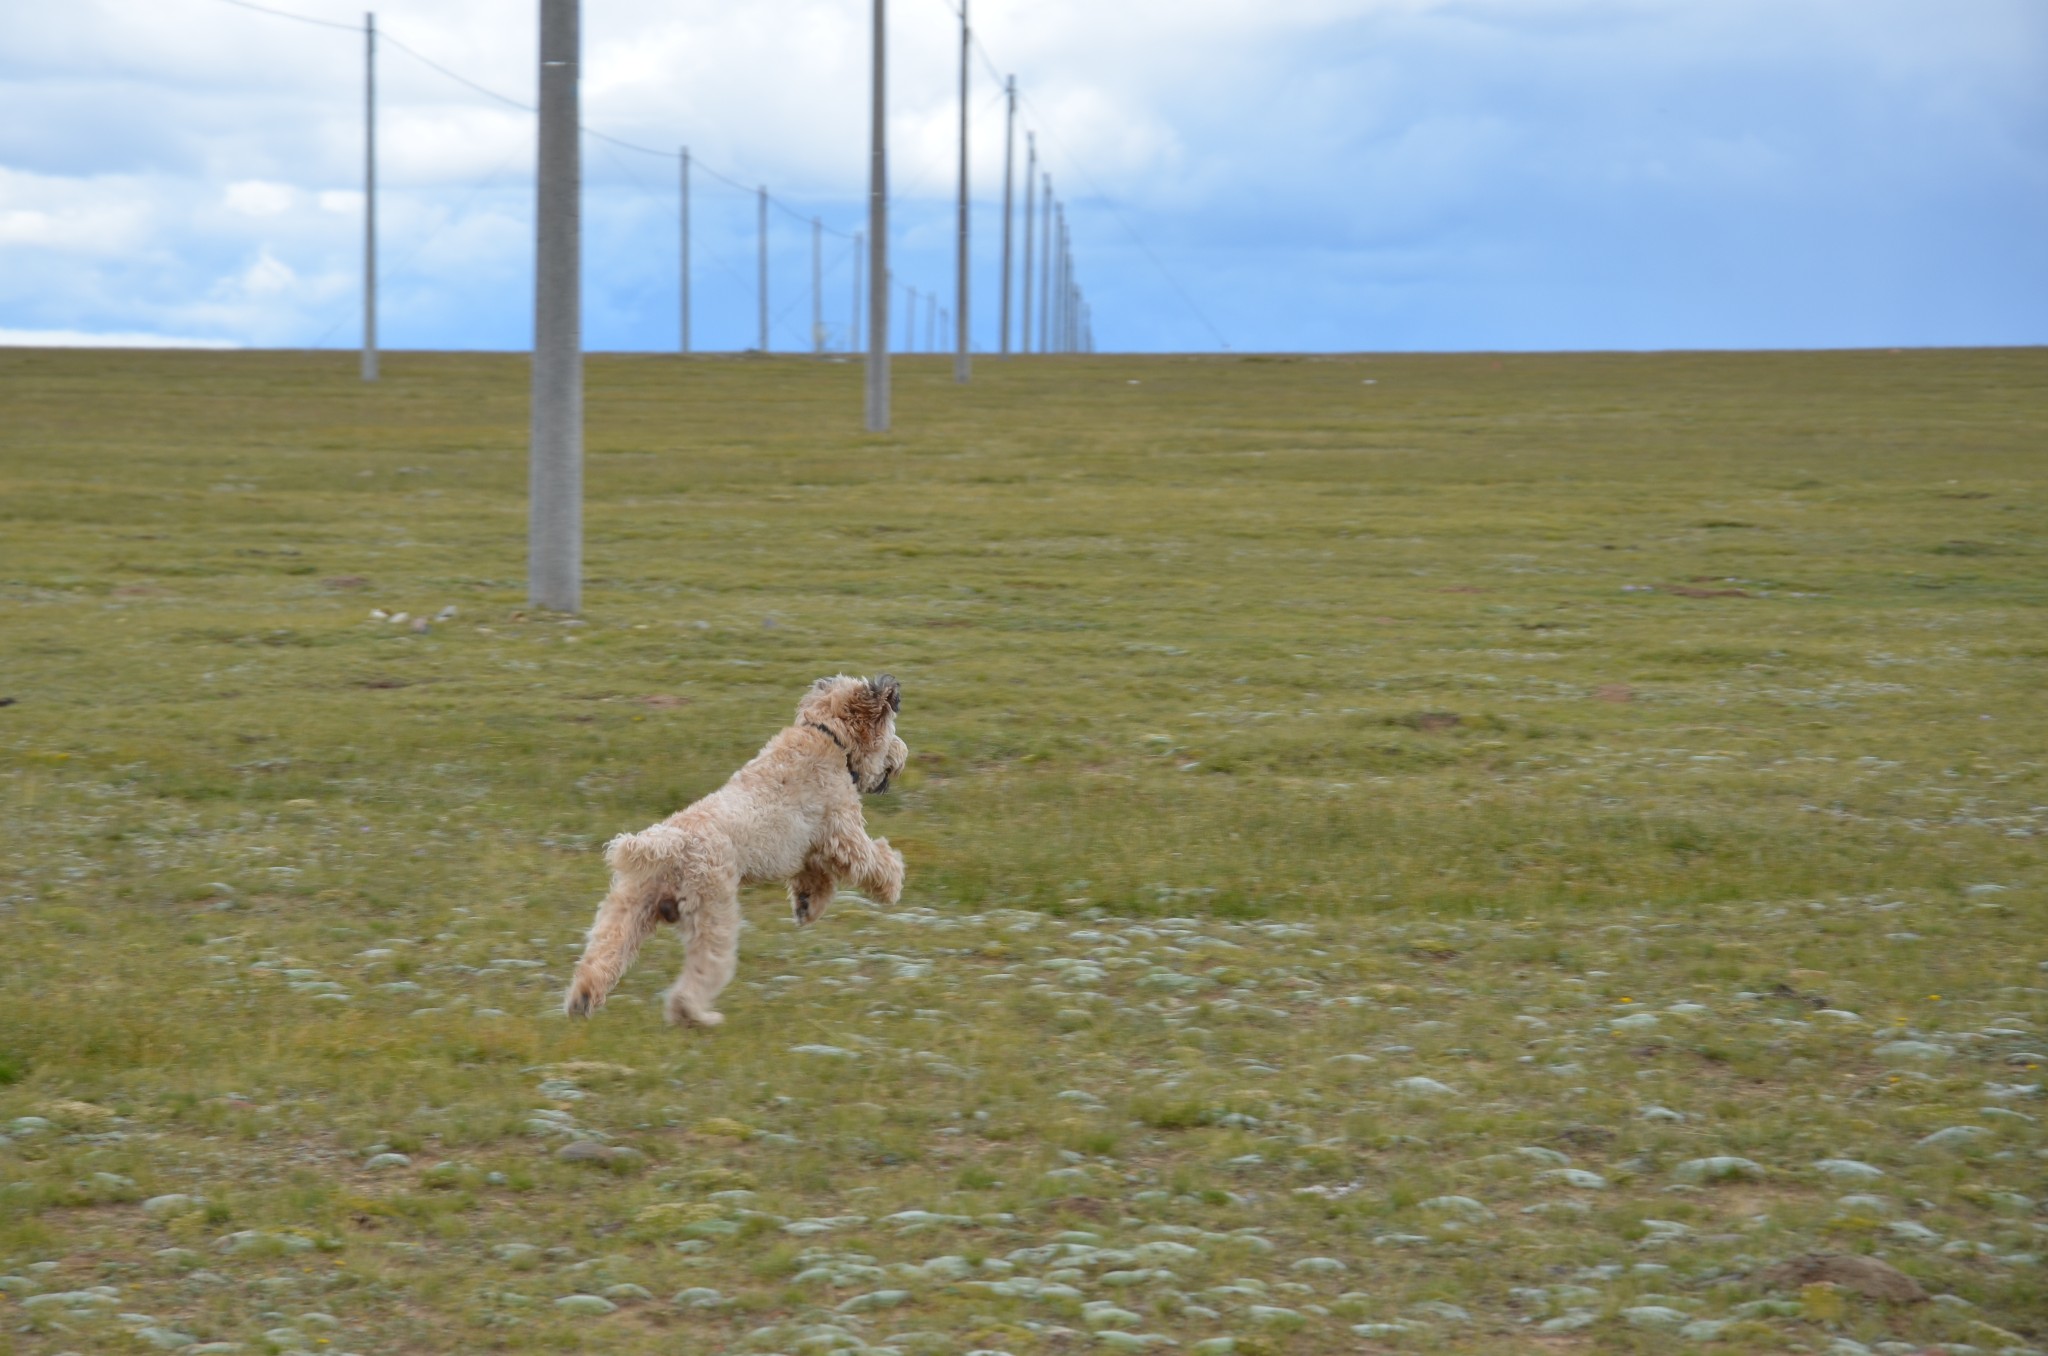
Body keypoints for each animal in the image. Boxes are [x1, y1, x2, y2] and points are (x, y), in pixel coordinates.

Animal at [565, 680, 909, 1032]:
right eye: (891, 728)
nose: (903, 753)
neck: (828, 738)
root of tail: (671, 845)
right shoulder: (843, 834)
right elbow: (873, 860)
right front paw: (892, 885)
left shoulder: (809, 849)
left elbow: (815, 880)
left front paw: (806, 906)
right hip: (714, 914)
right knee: (699, 977)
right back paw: (697, 1016)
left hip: (628, 911)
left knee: (603, 956)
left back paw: (582, 999)